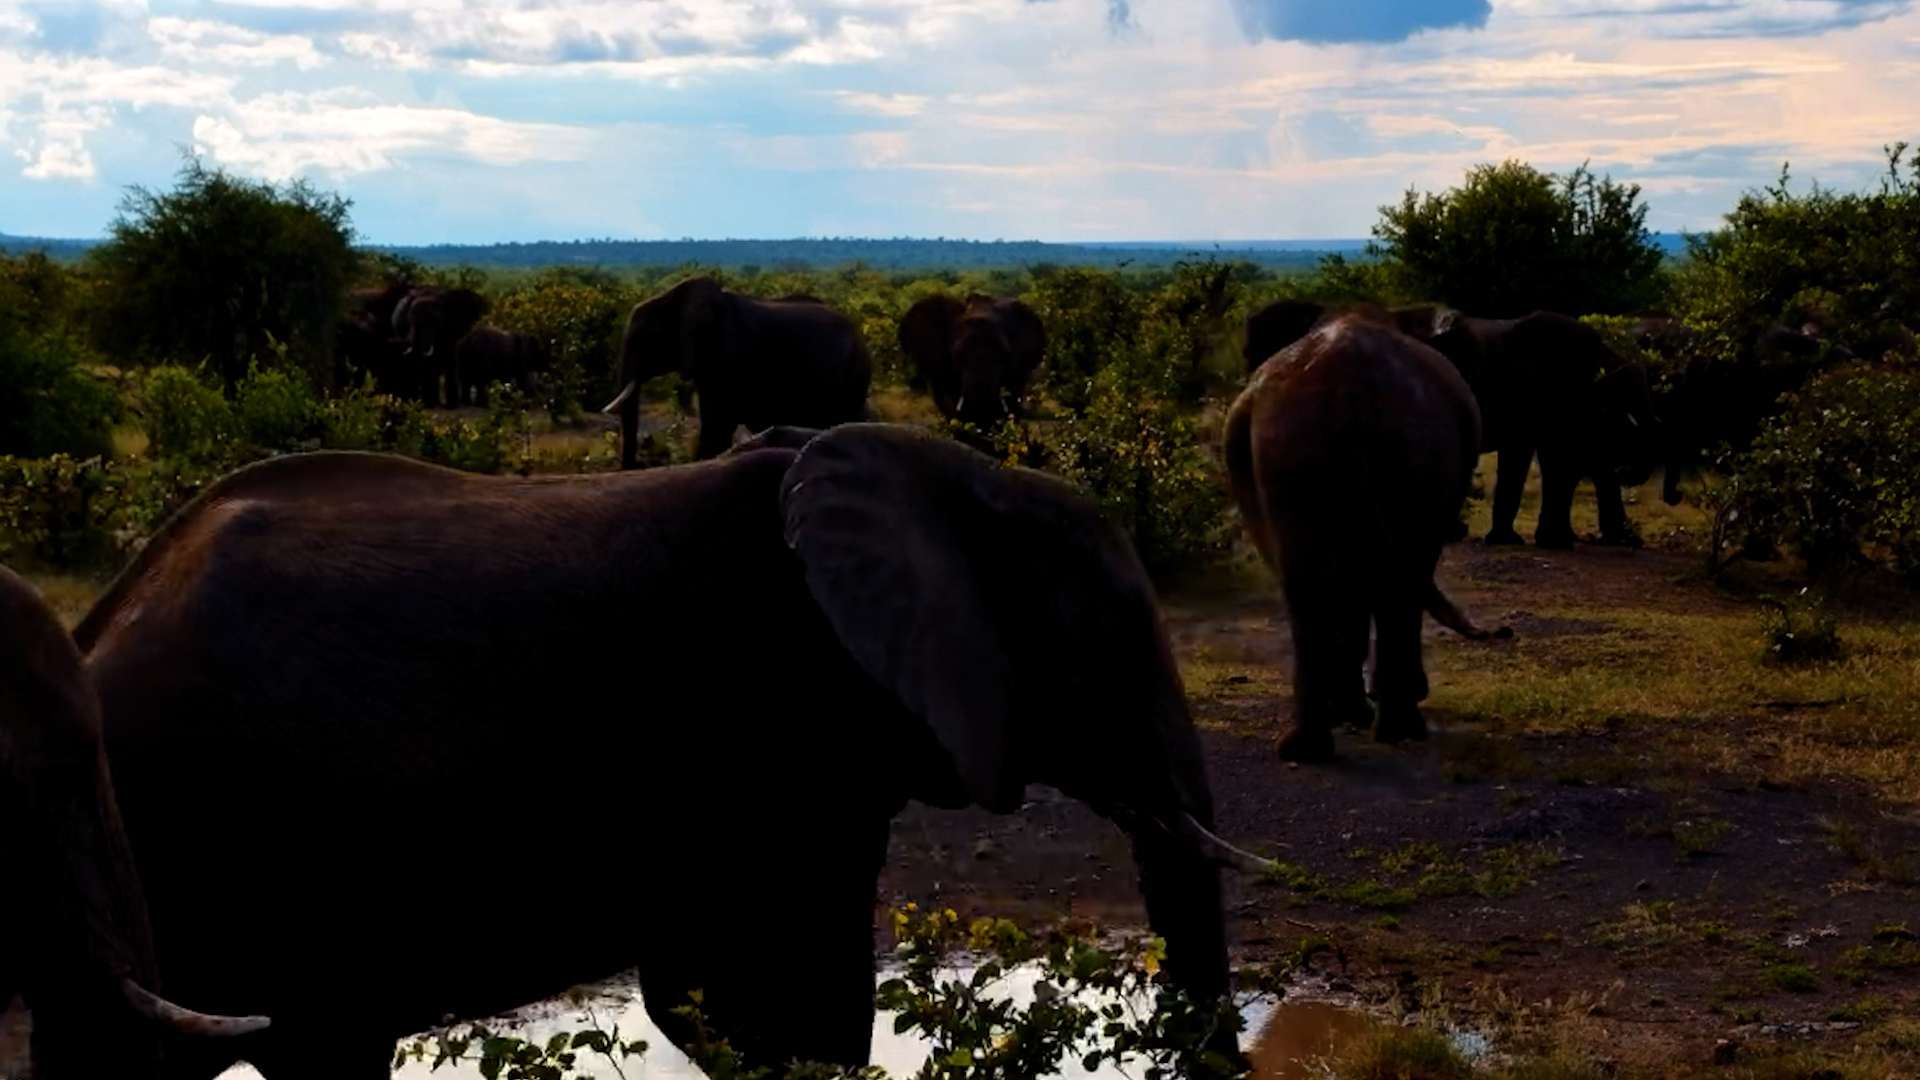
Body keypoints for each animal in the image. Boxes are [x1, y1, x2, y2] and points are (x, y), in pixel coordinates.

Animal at [57, 423, 1266, 1079]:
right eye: (1106, 644)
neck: (947, 476)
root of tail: (100, 629)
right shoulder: (776, 719)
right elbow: (783, 993)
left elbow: (712, 996)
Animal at [602, 277, 873, 466]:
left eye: (643, 340)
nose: (634, 466)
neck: (674, 295)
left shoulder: (731, 353)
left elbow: (718, 421)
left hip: (852, 372)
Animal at [1225, 316, 1506, 764]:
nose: (1502, 632)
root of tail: (1346, 385)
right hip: (1408, 448)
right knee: (1394, 577)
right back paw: (1394, 728)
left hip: (1291, 447)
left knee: (1311, 583)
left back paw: (1312, 746)